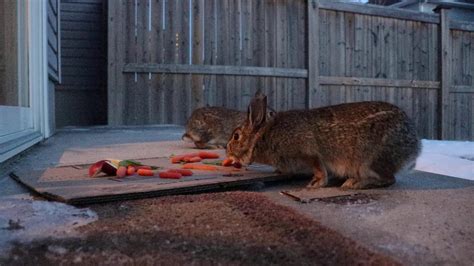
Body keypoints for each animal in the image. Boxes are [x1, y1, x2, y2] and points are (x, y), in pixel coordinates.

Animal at [228, 93, 420, 189]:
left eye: (236, 136)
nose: (228, 151)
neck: (264, 135)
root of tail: (415, 147)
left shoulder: (307, 152)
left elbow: (318, 166)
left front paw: (315, 184)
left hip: (370, 160)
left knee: (389, 179)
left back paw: (354, 183)